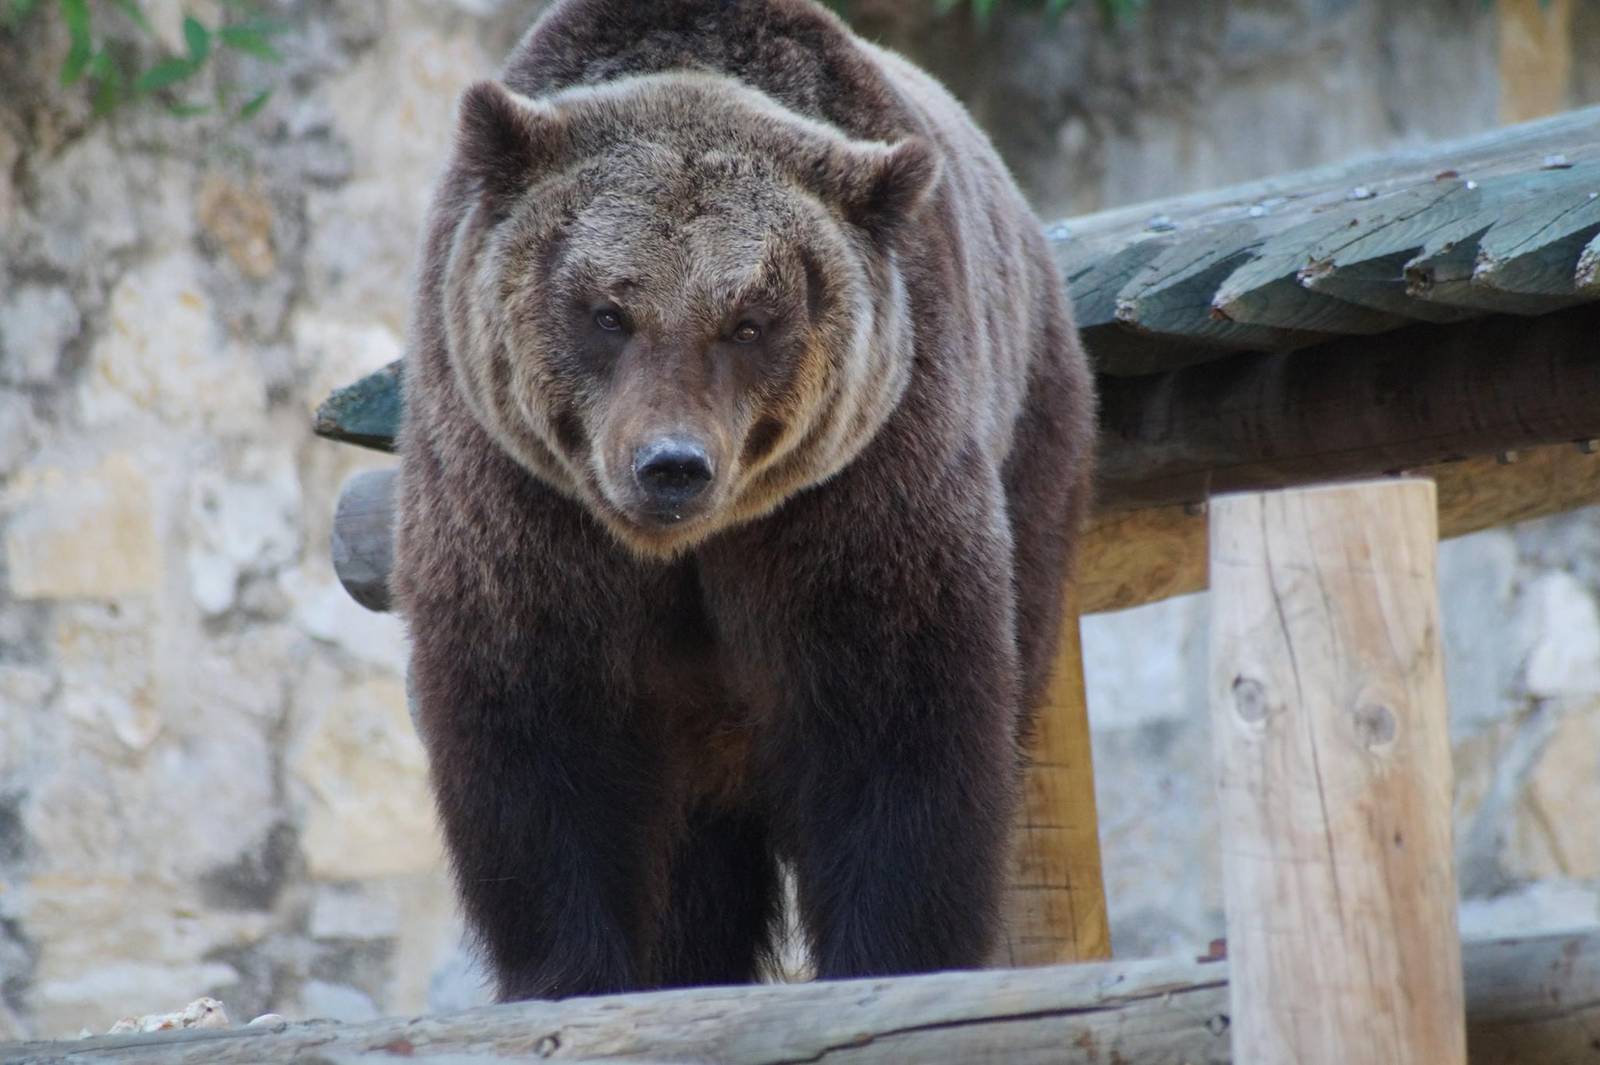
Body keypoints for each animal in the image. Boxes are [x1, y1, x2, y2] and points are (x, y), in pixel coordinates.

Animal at [392, 0, 1097, 1001]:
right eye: (608, 310)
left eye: (751, 320)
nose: (671, 465)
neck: (684, 550)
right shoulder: (523, 499)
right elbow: (541, 731)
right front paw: (576, 970)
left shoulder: (857, 489)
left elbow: (897, 722)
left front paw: (888, 954)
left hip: (1037, 444)